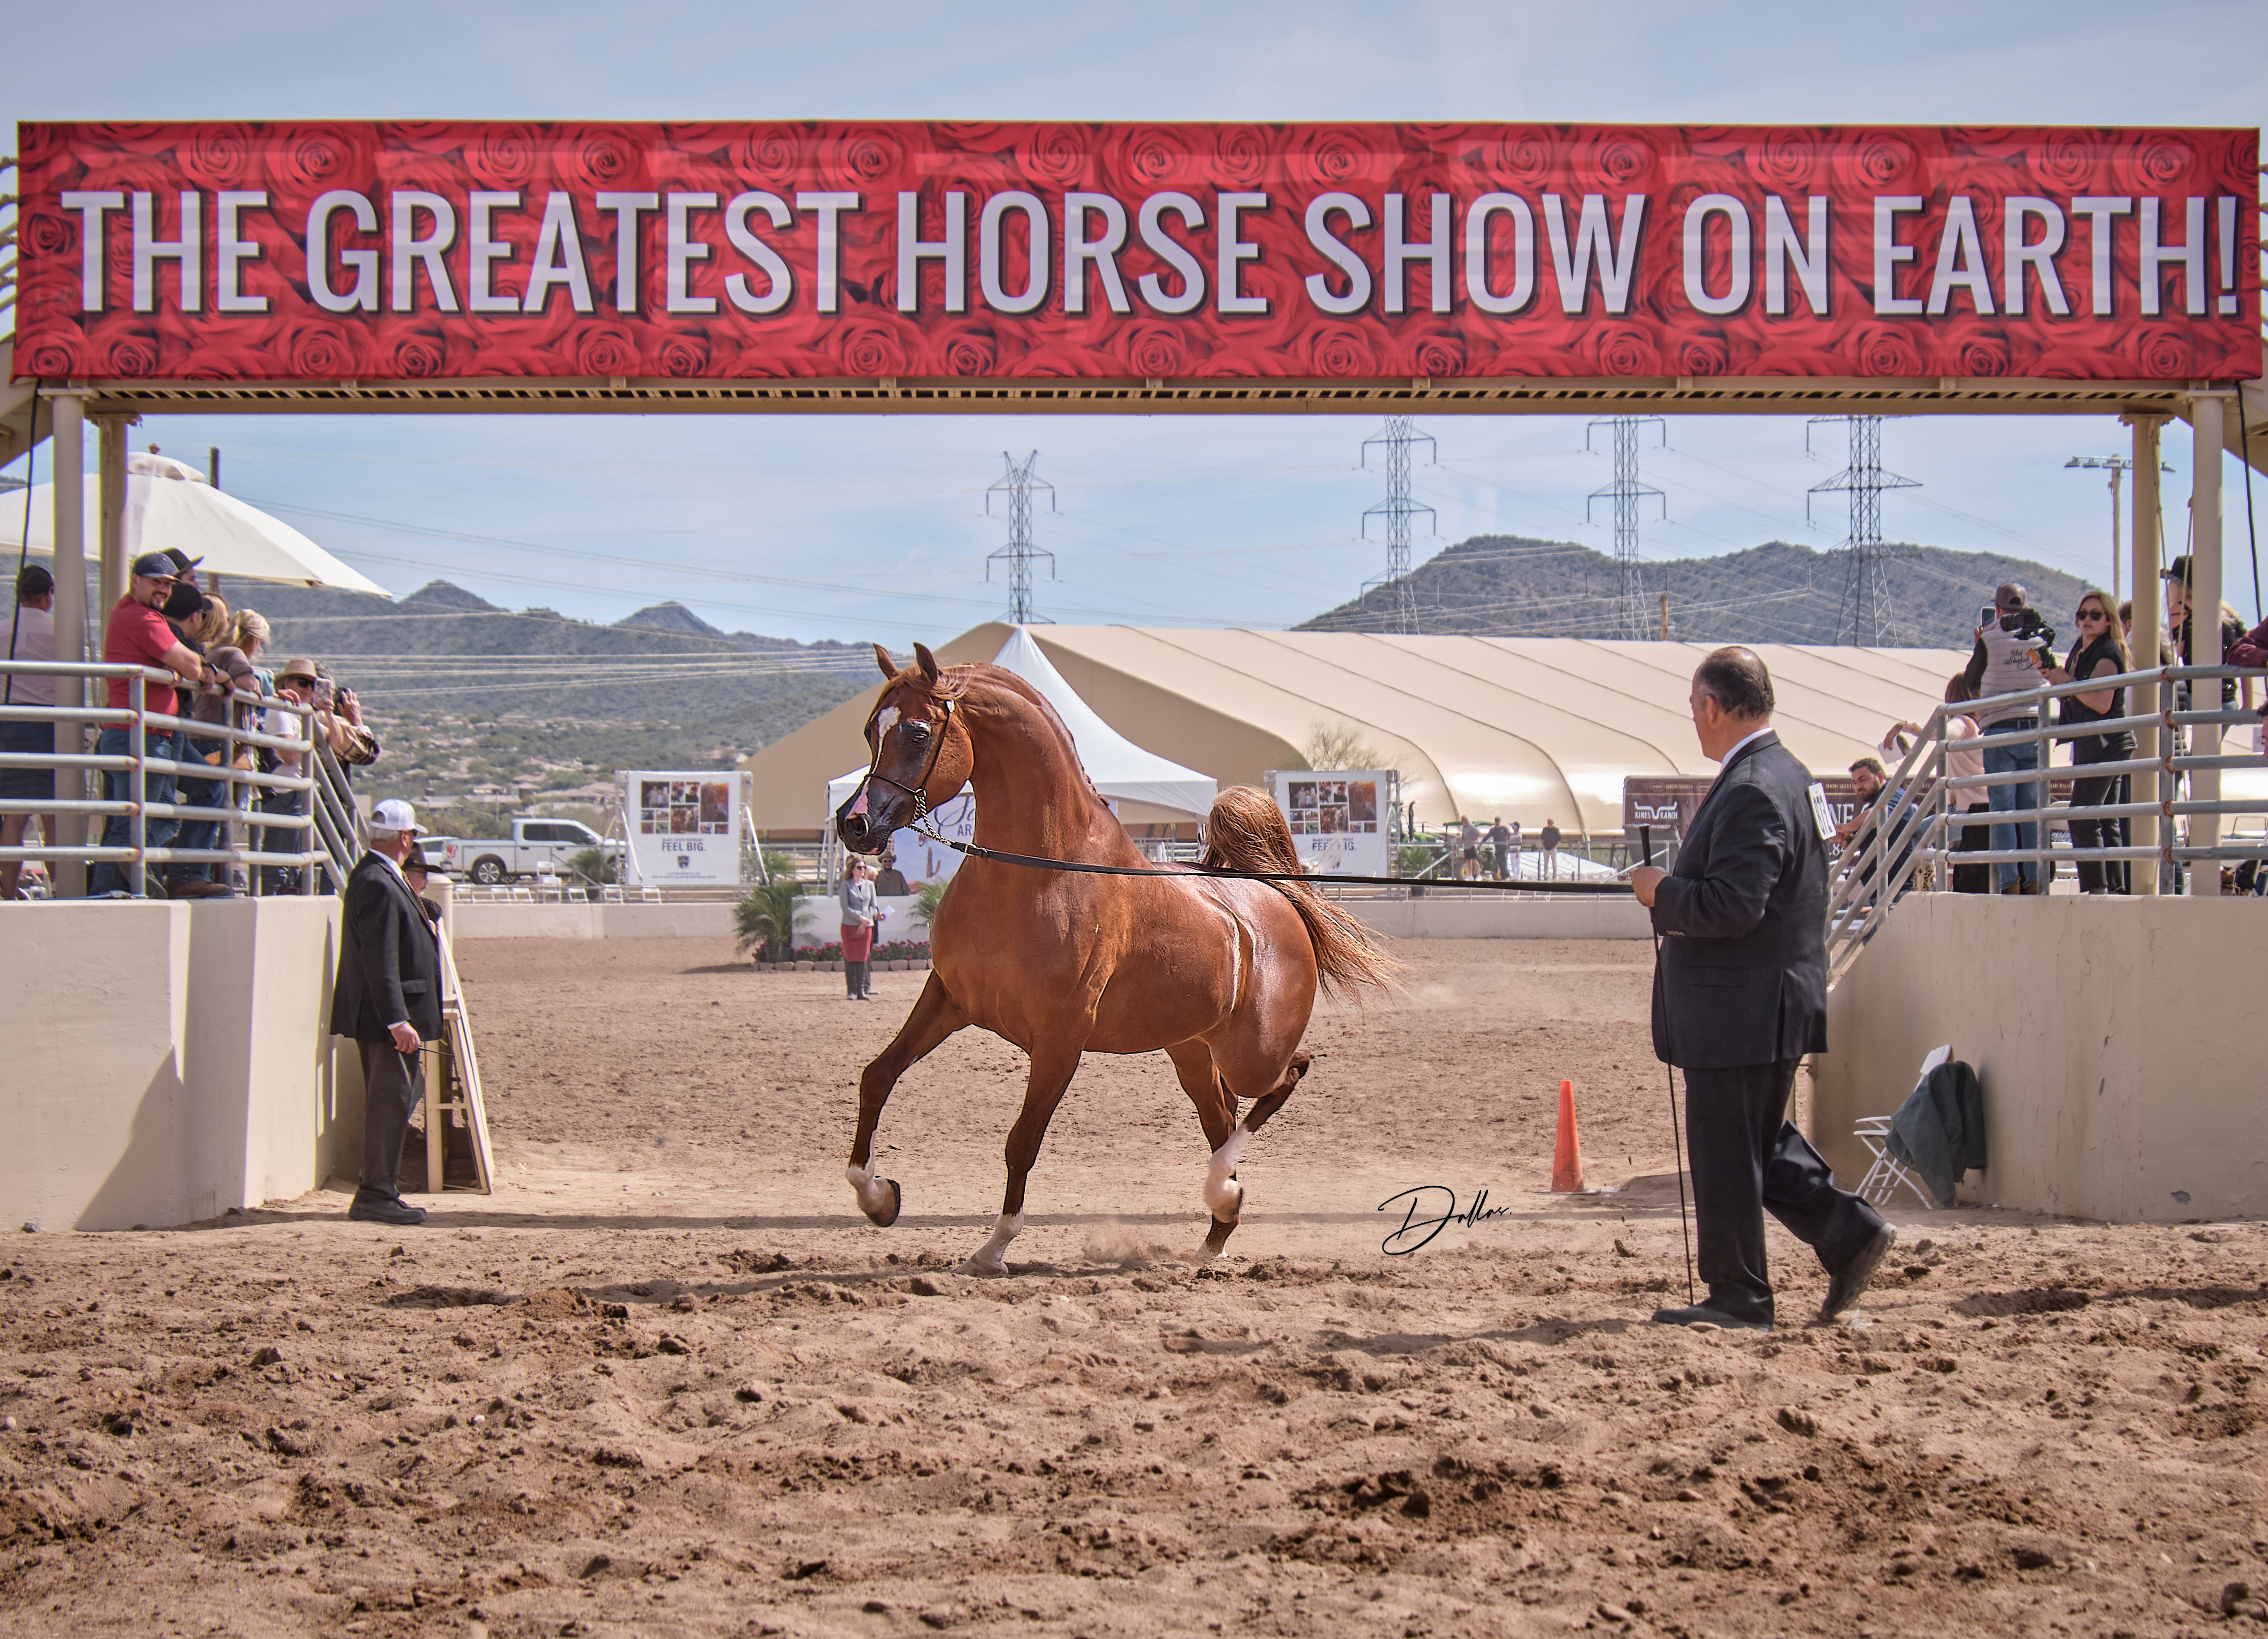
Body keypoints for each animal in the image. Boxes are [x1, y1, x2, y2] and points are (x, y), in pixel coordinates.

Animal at [844, 648, 1388, 1278]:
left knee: (1288, 1074)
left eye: (915, 731)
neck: (1033, 875)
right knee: (1222, 1119)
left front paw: (993, 1247)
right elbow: (877, 1076)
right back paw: (1215, 1232)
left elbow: (1021, 1141)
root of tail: (1271, 895)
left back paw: (1223, 1193)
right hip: (1191, 1053)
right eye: (869, 730)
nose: (853, 825)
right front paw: (878, 1197)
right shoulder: (947, 999)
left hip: (1250, 1054)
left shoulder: (1060, 1038)